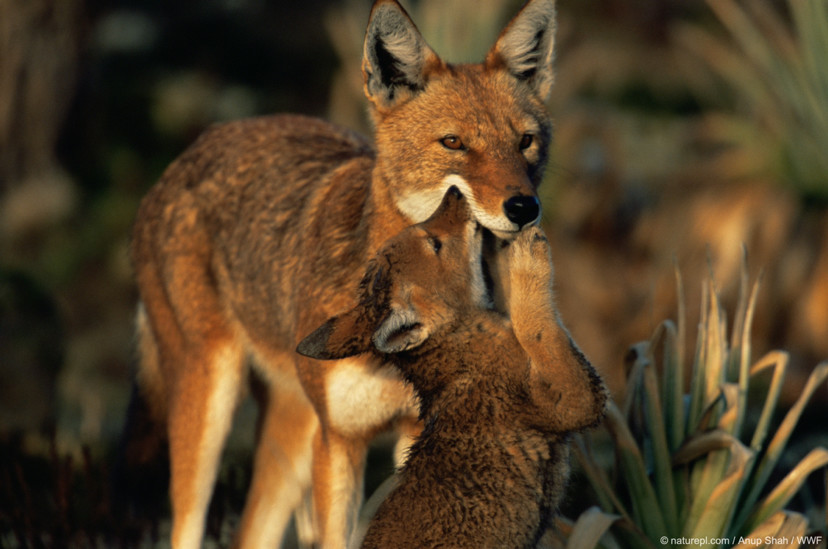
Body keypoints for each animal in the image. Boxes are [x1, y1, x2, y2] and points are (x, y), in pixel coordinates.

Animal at [128, 0, 556, 544]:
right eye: (454, 142)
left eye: (524, 142)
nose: (523, 207)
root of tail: (190, 151)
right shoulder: (340, 441)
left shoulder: (414, 431)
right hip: (211, 407)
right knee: (189, 523)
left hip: (290, 438)